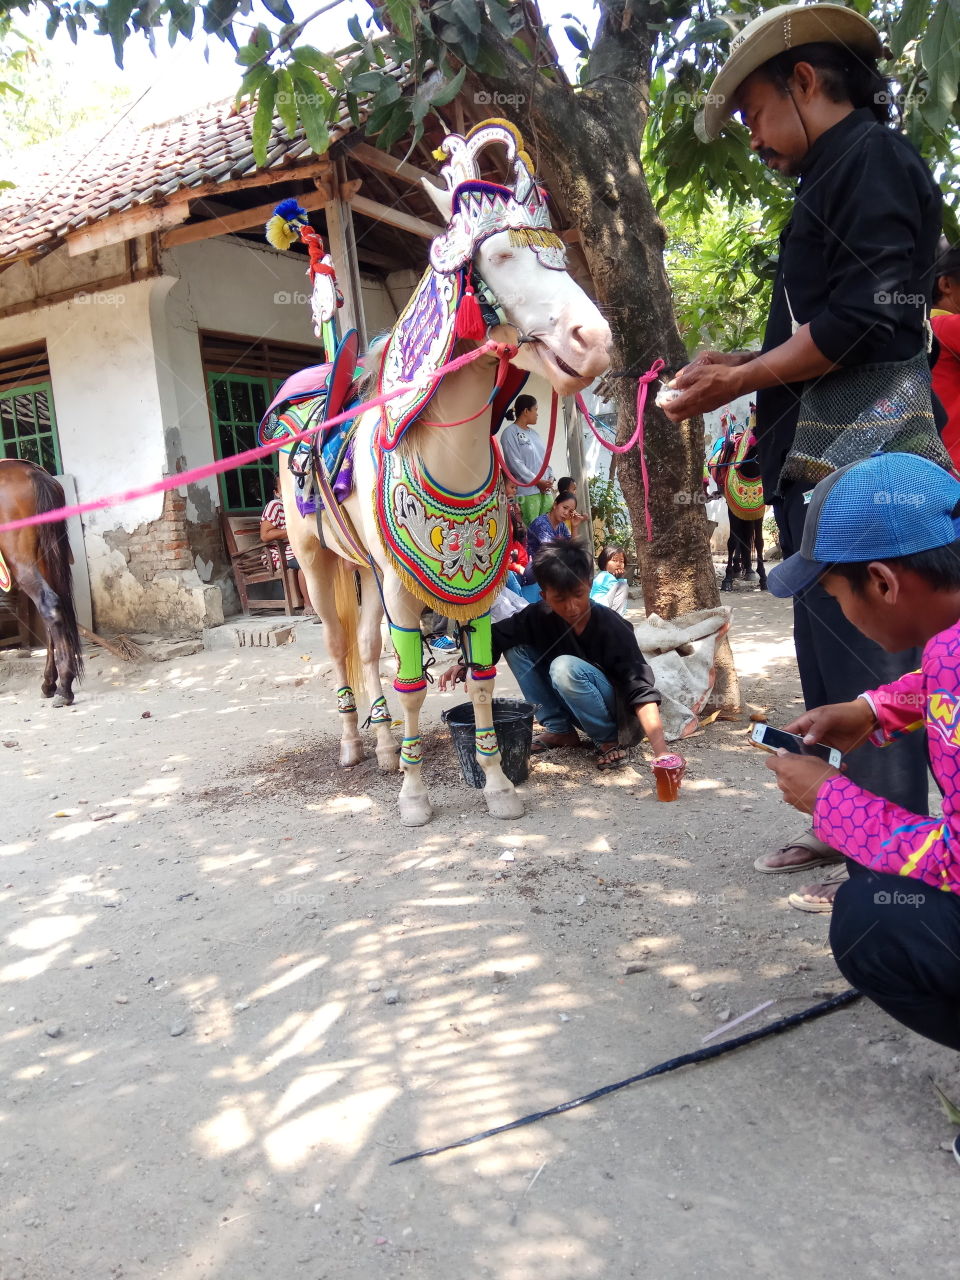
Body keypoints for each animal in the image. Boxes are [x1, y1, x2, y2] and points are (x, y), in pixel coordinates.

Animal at [0, 458, 83, 704]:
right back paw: (50, 683)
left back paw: (64, 687)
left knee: (49, 605)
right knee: (53, 614)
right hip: (46, 561)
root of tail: (30, 471)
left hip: (24, 563)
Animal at [266, 121, 611, 827]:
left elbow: (479, 680)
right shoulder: (404, 591)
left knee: (367, 646)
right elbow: (413, 686)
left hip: (372, 571)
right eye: (500, 257)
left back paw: (382, 746)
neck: (447, 454)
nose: (594, 340)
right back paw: (353, 744)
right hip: (315, 558)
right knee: (340, 647)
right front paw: (416, 796)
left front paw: (497, 784)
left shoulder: (470, 588)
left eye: (561, 256)